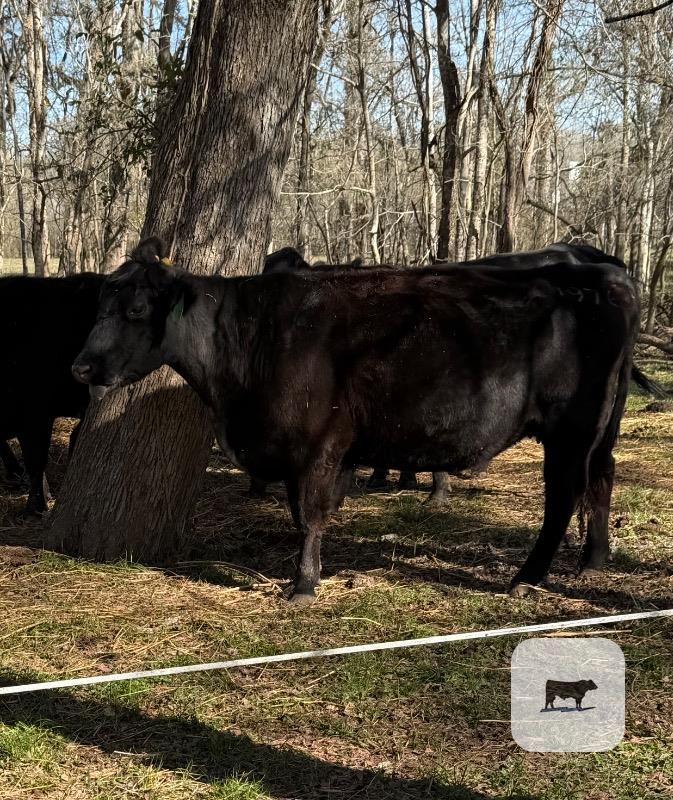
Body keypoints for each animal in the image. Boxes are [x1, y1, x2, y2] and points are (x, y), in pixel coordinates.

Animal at [72, 238, 639, 603]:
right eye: (98, 303)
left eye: (137, 309)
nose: (81, 366)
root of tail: (604, 273)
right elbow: (305, 512)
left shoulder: (319, 445)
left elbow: (310, 514)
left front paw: (303, 585)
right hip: (602, 427)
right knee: (601, 476)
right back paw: (593, 559)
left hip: (572, 427)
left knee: (563, 495)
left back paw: (529, 577)